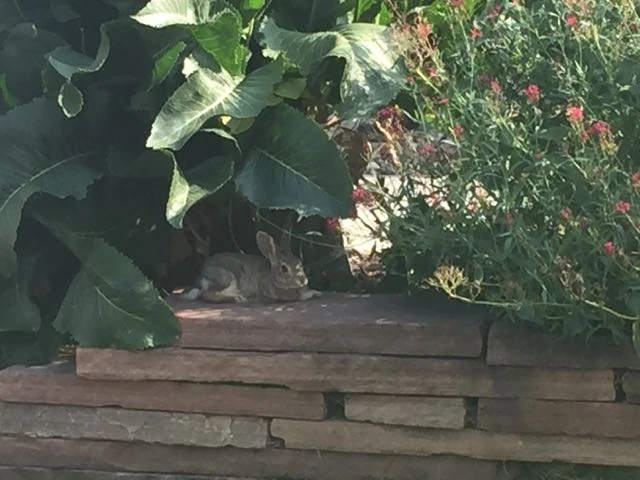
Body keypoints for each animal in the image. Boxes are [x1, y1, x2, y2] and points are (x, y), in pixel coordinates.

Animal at [181, 230, 322, 303]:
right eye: (284, 269)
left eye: (299, 261)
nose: (303, 280)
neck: (273, 277)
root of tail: (200, 277)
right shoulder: (284, 295)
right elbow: (299, 297)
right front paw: (314, 293)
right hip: (227, 277)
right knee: (209, 294)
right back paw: (238, 298)